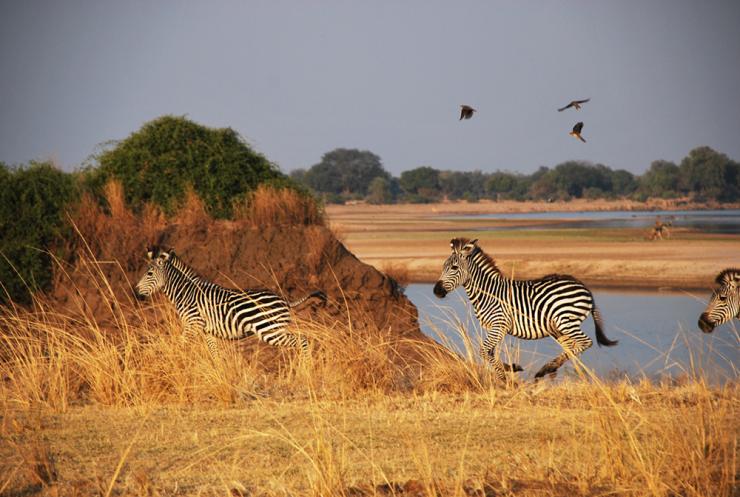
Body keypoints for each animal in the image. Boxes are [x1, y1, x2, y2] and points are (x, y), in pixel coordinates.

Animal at [134, 246, 326, 358]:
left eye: (149, 274)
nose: (135, 293)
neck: (186, 293)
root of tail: (284, 300)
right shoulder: (207, 331)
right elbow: (215, 355)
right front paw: (219, 375)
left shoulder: (192, 325)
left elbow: (180, 346)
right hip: (276, 329)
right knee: (301, 341)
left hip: (269, 330)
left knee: (302, 341)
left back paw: (305, 372)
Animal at [434, 236, 620, 380]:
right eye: (443, 267)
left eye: (454, 268)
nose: (436, 291)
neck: (488, 293)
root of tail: (584, 287)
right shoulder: (494, 328)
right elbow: (490, 353)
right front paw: (510, 368)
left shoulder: (499, 325)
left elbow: (484, 351)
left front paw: (505, 379)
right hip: (559, 328)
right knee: (572, 347)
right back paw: (553, 369)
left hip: (566, 321)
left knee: (585, 342)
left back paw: (547, 368)